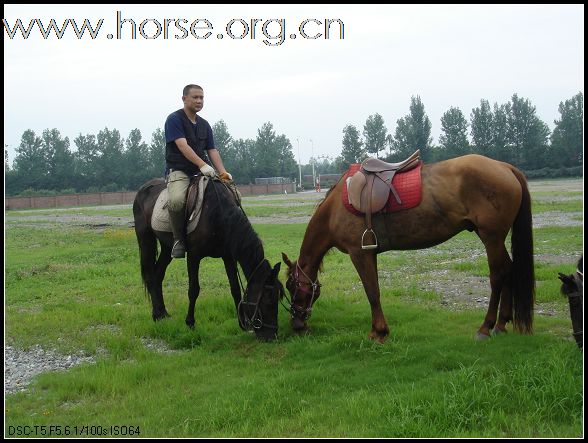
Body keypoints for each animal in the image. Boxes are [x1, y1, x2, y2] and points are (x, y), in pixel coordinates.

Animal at [132, 176, 284, 340]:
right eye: (269, 300)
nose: (271, 335)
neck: (217, 213)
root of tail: (143, 189)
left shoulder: (228, 256)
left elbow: (235, 288)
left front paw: (242, 323)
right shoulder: (194, 256)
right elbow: (193, 290)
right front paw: (190, 323)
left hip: (167, 248)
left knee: (157, 276)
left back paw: (163, 313)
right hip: (145, 239)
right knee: (149, 275)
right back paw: (156, 315)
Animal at [282, 154, 536, 342]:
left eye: (292, 286)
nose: (296, 323)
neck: (335, 208)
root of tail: (505, 167)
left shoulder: (359, 253)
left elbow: (372, 292)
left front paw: (378, 332)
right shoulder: (370, 254)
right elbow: (375, 290)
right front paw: (380, 330)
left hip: (491, 237)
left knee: (498, 275)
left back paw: (486, 327)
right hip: (496, 239)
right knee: (509, 270)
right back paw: (501, 325)